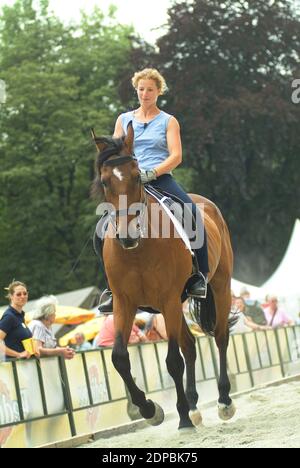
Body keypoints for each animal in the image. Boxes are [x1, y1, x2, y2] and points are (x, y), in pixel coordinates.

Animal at [92, 123, 237, 428]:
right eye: (105, 181)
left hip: (220, 286)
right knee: (190, 345)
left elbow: (172, 361)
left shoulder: (168, 298)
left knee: (219, 337)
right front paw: (150, 409)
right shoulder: (124, 302)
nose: (127, 235)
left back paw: (223, 402)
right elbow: (120, 358)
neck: (138, 250)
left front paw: (181, 419)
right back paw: (194, 407)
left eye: (137, 177)